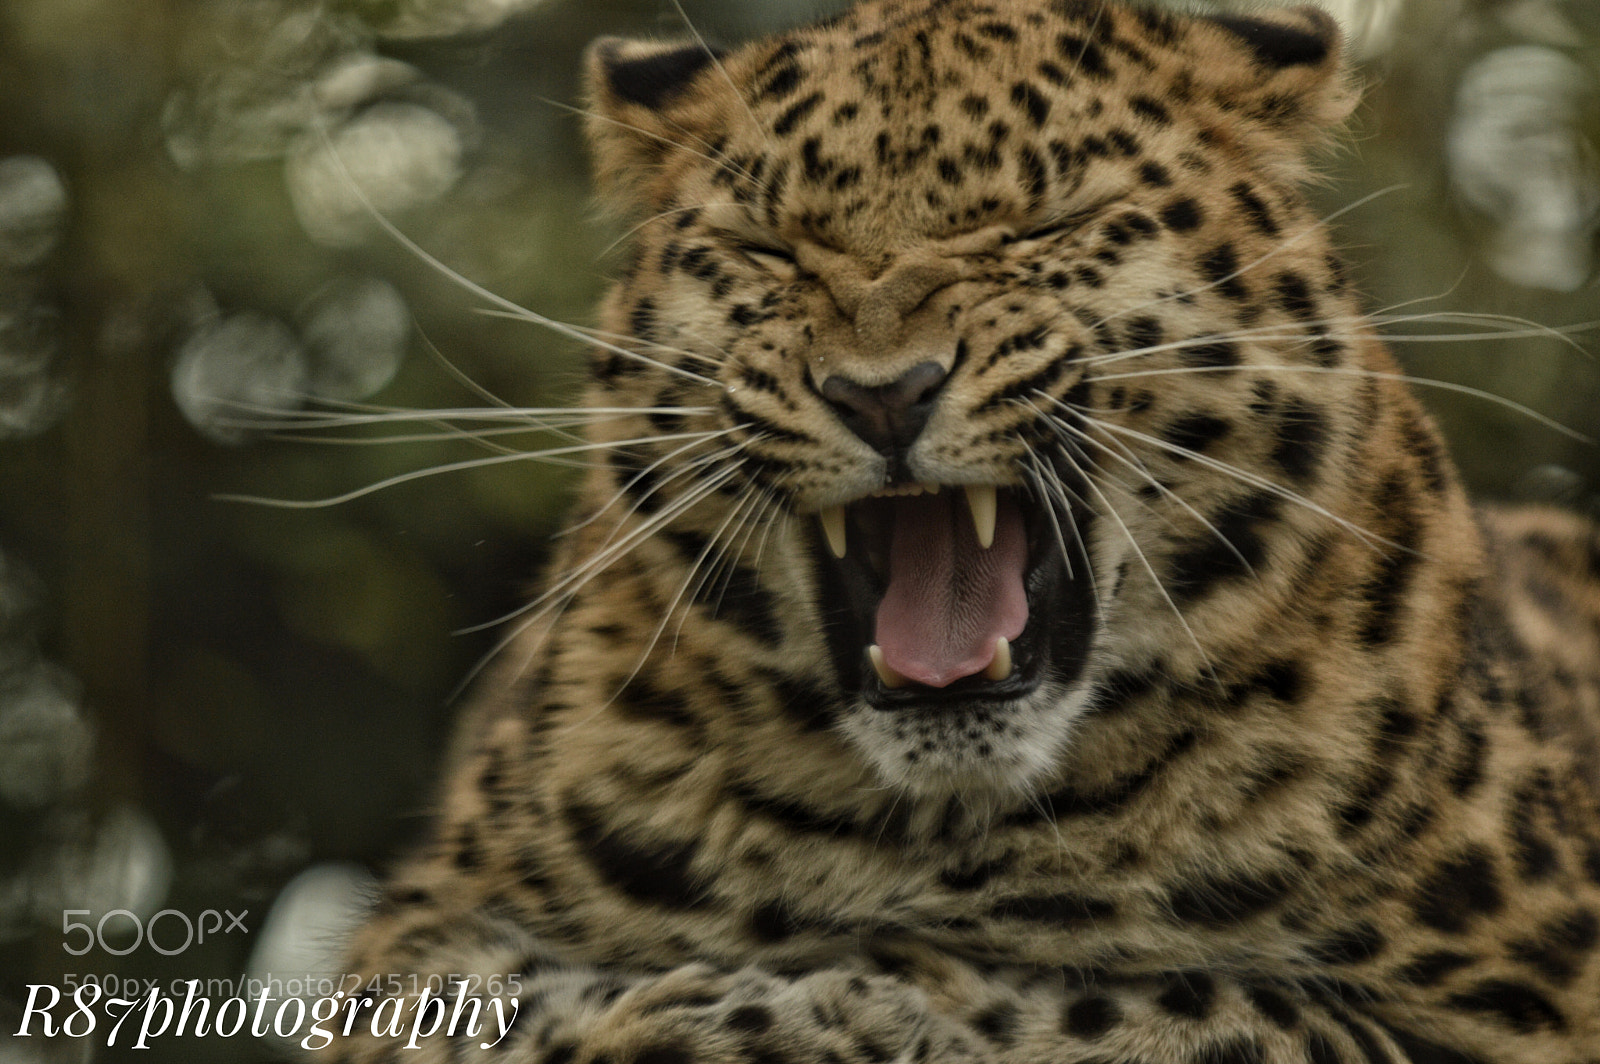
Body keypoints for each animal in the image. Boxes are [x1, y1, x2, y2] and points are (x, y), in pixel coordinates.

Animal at [333, 0, 1600, 1061]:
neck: (944, 828)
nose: (882, 393)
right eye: (769, 248)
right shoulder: (408, 947)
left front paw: (821, 1003)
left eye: (1040, 225)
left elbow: (1185, 1000)